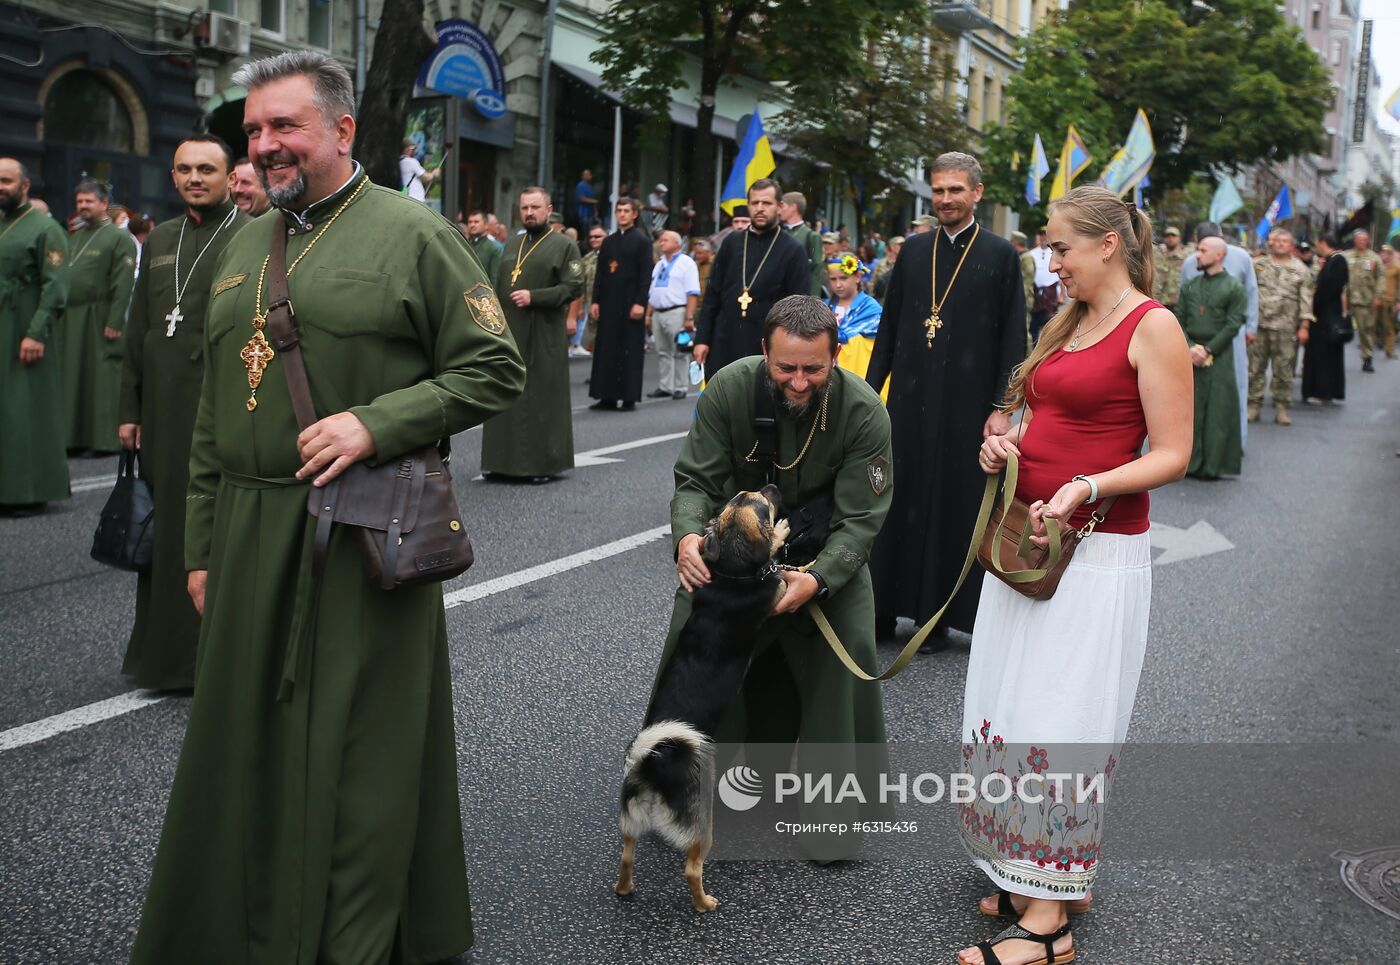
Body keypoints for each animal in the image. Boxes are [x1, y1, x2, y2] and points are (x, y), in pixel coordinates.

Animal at [613, 484, 789, 913]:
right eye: (763, 503)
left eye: (746, 495)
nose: (772, 485)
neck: (731, 573)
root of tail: (653, 766)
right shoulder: (776, 591)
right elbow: (781, 568)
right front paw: (782, 535)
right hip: (700, 827)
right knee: (692, 869)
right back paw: (705, 903)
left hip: (631, 822)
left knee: (626, 856)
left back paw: (625, 889)